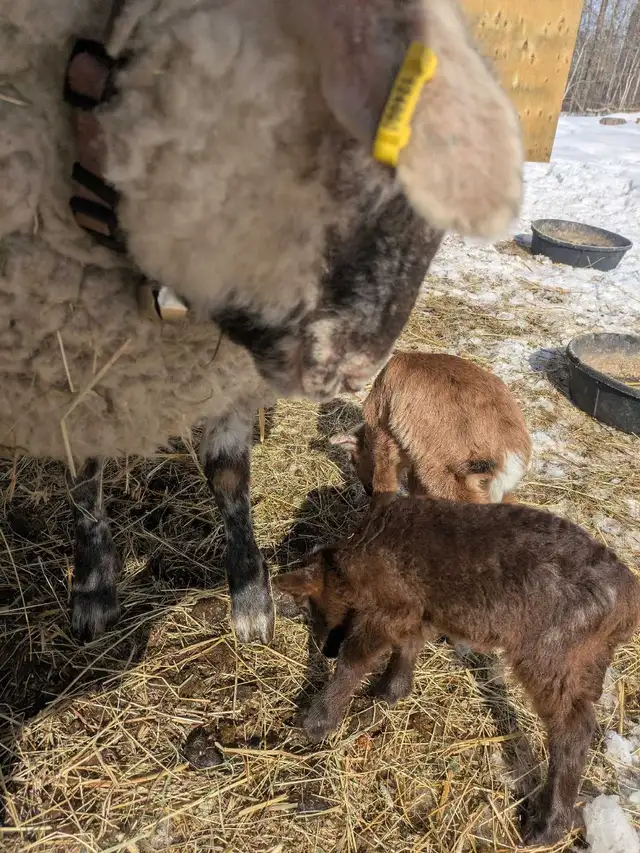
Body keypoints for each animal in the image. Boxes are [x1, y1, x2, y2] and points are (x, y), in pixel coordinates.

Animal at [274, 498, 640, 847]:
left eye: (313, 604)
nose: (325, 649)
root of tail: (626, 602)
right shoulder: (417, 608)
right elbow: (408, 645)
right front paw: (388, 693)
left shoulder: (386, 608)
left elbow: (354, 660)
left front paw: (316, 722)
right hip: (584, 660)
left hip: (551, 654)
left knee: (572, 728)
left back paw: (547, 826)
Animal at [331, 351, 532, 507]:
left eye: (353, 460)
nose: (367, 490)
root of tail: (511, 449)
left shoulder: (386, 439)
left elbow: (384, 486)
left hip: (448, 476)